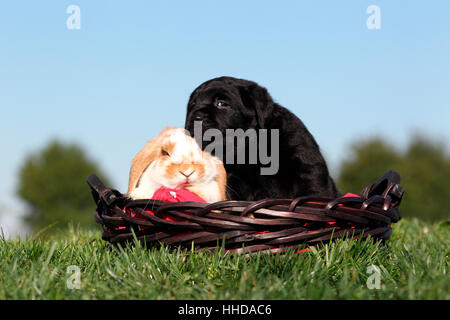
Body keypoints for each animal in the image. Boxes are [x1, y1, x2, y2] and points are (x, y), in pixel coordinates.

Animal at [185, 76, 340, 200]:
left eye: (222, 104)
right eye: (193, 104)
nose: (196, 117)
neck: (249, 147)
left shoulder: (305, 163)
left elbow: (313, 191)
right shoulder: (234, 183)